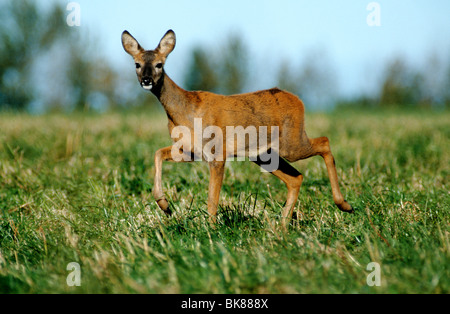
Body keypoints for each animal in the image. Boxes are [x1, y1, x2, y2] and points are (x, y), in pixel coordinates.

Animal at [121, 29, 354, 229]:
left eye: (159, 64)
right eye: (137, 64)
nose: (146, 80)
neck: (184, 112)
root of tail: (298, 100)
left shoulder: (216, 152)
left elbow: (212, 198)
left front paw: (211, 231)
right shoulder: (189, 151)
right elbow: (158, 153)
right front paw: (165, 205)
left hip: (291, 142)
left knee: (324, 142)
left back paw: (344, 205)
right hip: (264, 153)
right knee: (296, 178)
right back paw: (282, 226)